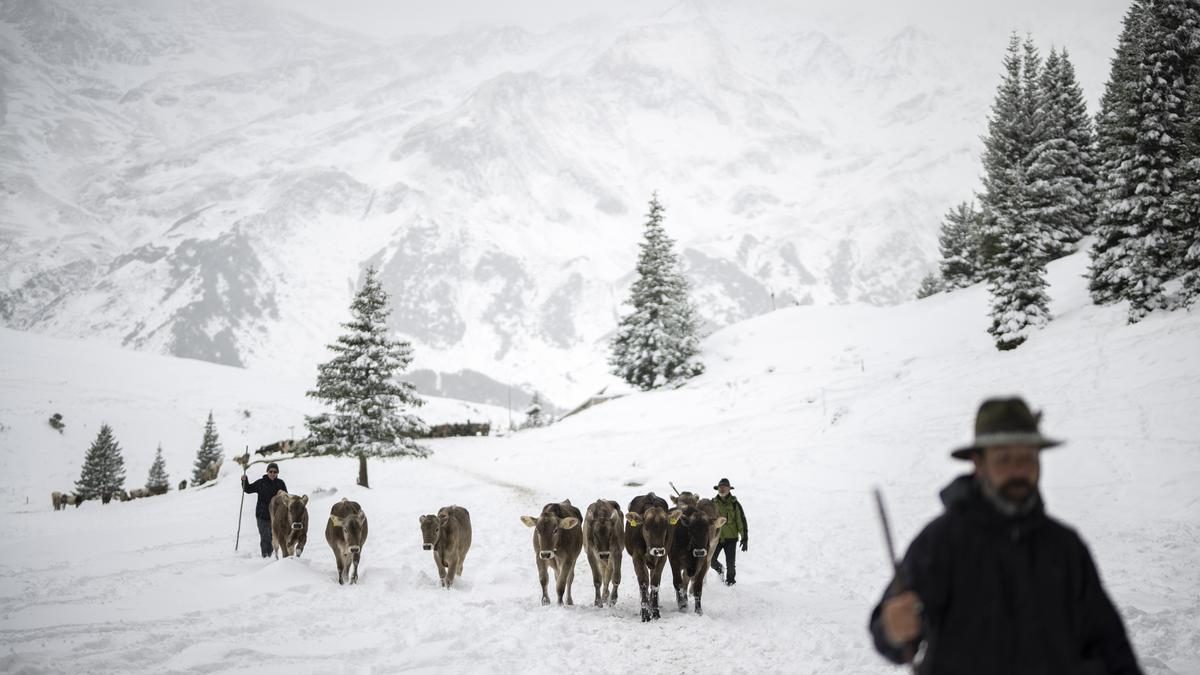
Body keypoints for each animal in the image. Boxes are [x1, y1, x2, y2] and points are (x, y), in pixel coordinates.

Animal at [624, 487, 681, 619]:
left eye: (665, 528)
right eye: (646, 527)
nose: (657, 550)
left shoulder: (662, 557)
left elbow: (655, 583)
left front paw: (654, 611)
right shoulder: (637, 557)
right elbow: (643, 582)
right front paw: (645, 613)